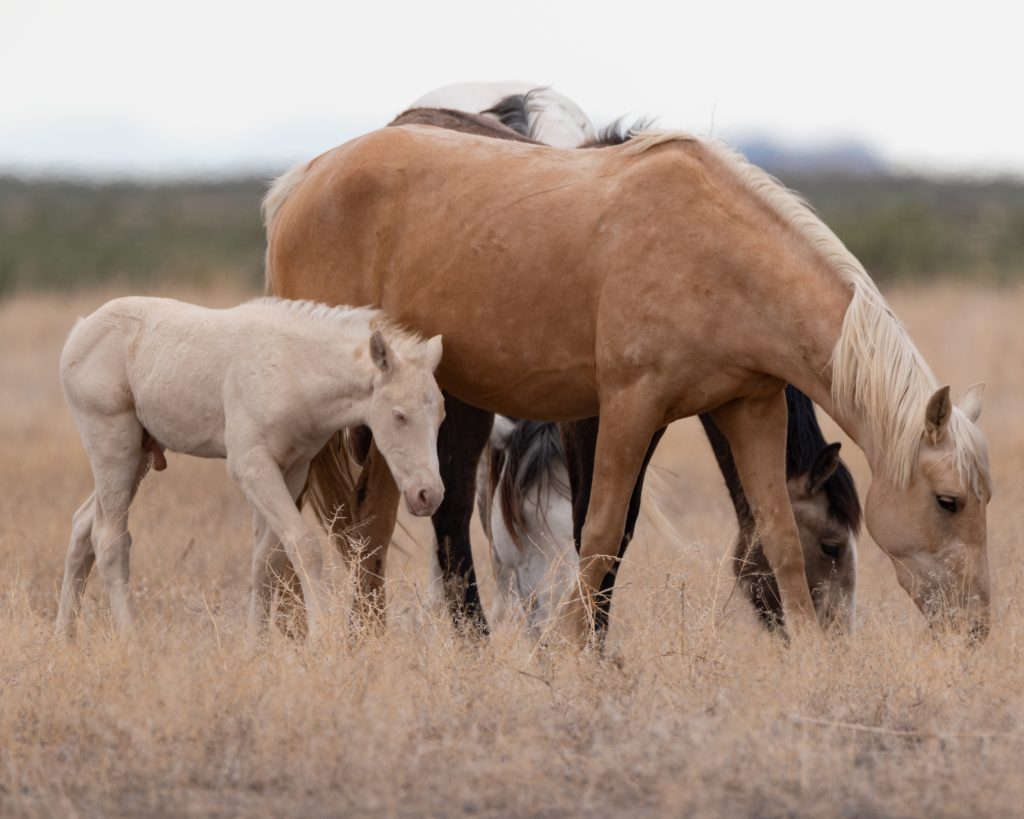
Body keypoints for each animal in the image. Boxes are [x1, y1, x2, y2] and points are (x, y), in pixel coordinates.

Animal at [56, 296, 440, 642]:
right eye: (399, 415)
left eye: (441, 415)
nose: (429, 495)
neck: (293, 367)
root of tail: (79, 331)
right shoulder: (251, 466)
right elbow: (304, 545)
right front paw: (321, 638)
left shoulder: (292, 469)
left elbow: (266, 561)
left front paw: (256, 645)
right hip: (113, 446)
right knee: (109, 538)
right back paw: (131, 640)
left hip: (140, 456)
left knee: (81, 526)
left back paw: (65, 637)